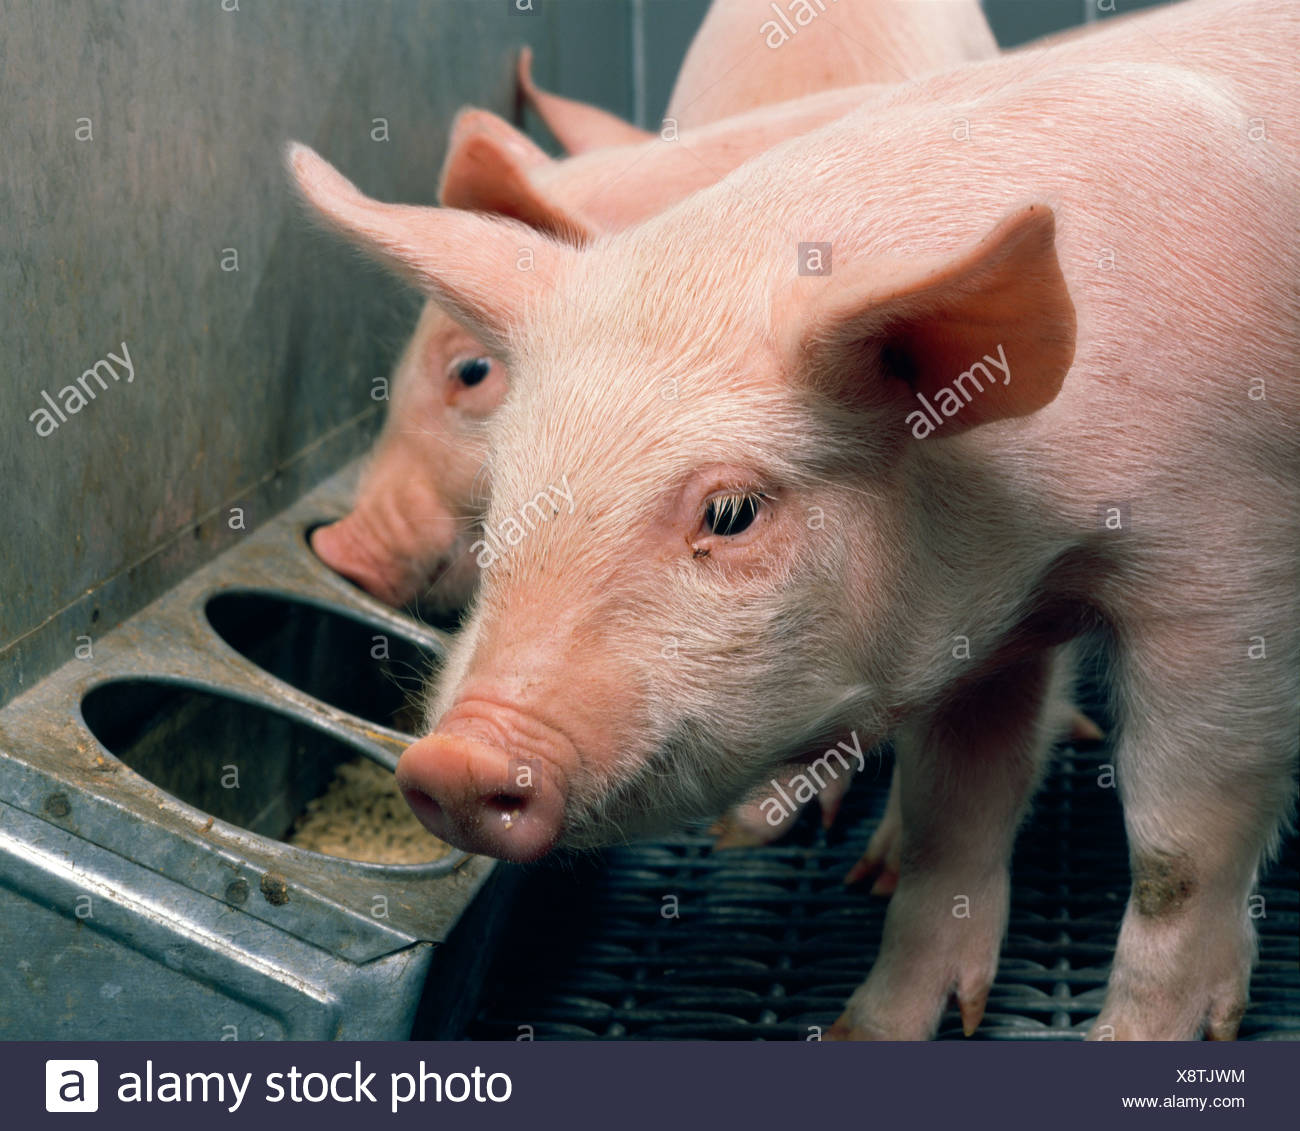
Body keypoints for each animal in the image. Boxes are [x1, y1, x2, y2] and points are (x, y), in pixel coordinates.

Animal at [292, 0, 1299, 1040]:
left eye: (733, 511)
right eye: (508, 488)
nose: (451, 759)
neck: (1029, 534)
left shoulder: (1230, 575)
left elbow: (1181, 851)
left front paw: (1153, 1035)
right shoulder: (989, 627)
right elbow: (954, 817)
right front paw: (870, 1022)